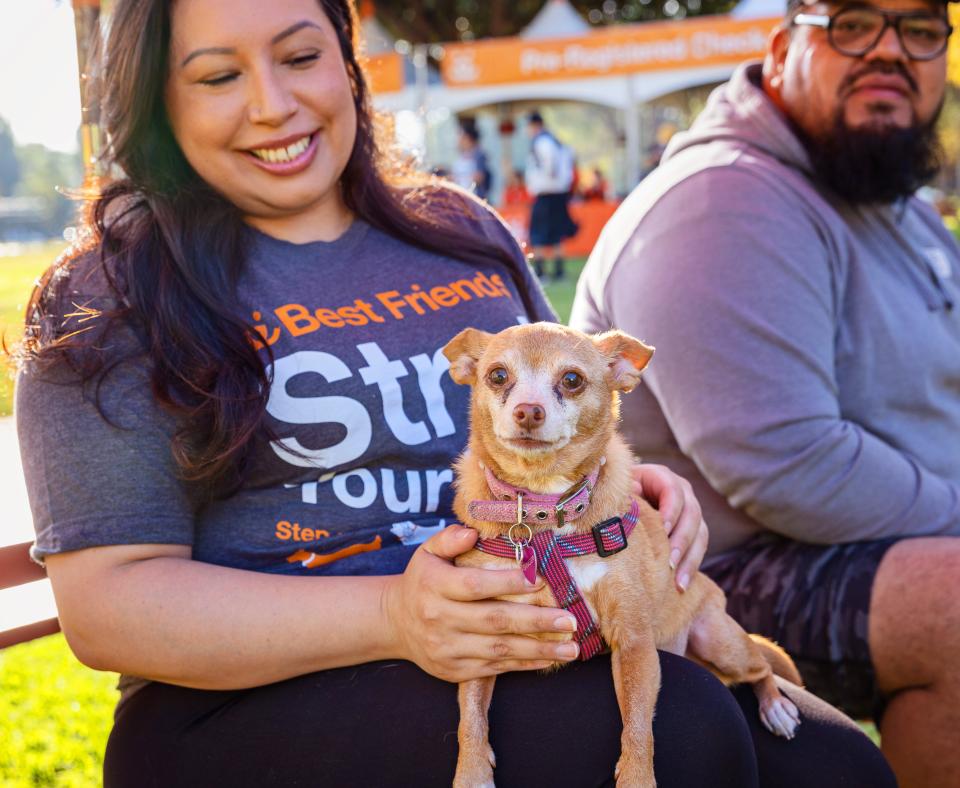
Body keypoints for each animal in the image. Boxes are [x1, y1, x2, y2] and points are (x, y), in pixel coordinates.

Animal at [444, 324, 804, 784]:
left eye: (572, 379)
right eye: (497, 376)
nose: (528, 411)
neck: (544, 510)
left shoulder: (634, 644)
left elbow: (637, 725)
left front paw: (636, 778)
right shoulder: (481, 647)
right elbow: (470, 717)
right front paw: (471, 773)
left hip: (721, 642)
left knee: (762, 665)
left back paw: (776, 707)